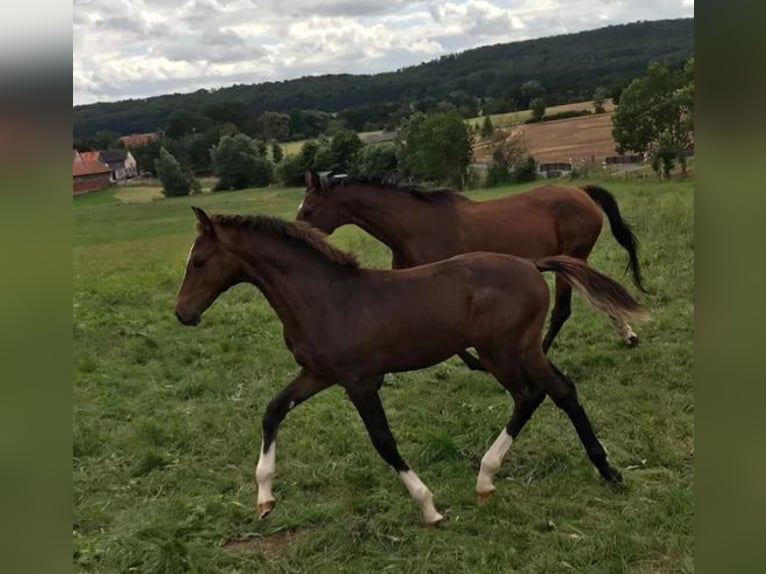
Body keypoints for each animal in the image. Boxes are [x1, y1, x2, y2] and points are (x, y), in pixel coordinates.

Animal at [175, 207, 648, 525]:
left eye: (199, 261)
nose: (182, 313)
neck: (325, 299)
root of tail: (532, 264)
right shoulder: (318, 375)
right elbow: (273, 410)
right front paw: (264, 497)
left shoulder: (360, 382)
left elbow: (384, 442)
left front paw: (429, 506)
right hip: (515, 351)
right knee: (548, 392)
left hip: (507, 351)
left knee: (541, 392)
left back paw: (503, 475)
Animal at [296, 171, 646, 371]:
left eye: (309, 209)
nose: (295, 232)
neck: (414, 228)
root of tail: (581, 191)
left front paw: (479, 363)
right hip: (578, 259)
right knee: (600, 294)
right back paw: (628, 335)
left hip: (572, 257)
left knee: (562, 310)